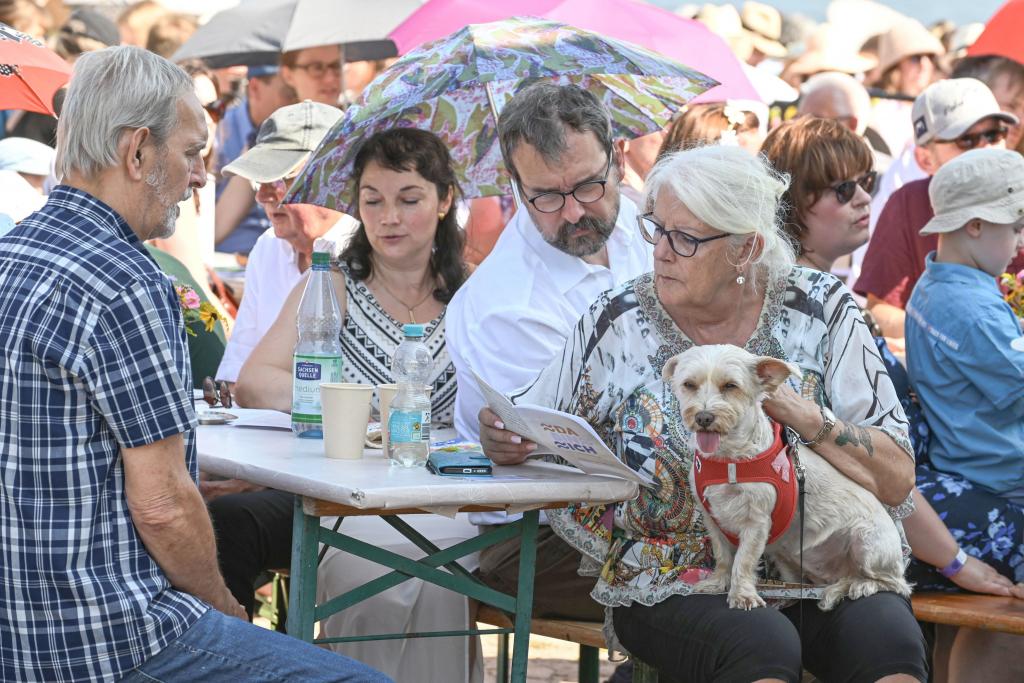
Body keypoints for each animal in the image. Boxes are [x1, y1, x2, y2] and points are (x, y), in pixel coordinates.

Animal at [663, 344, 913, 610]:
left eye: (731, 385)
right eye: (689, 384)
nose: (703, 417)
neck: (729, 460)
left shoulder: (757, 521)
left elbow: (743, 559)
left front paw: (742, 594)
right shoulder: (712, 517)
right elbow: (723, 555)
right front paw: (718, 582)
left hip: (867, 542)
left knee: (895, 583)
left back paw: (862, 585)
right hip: (789, 559)